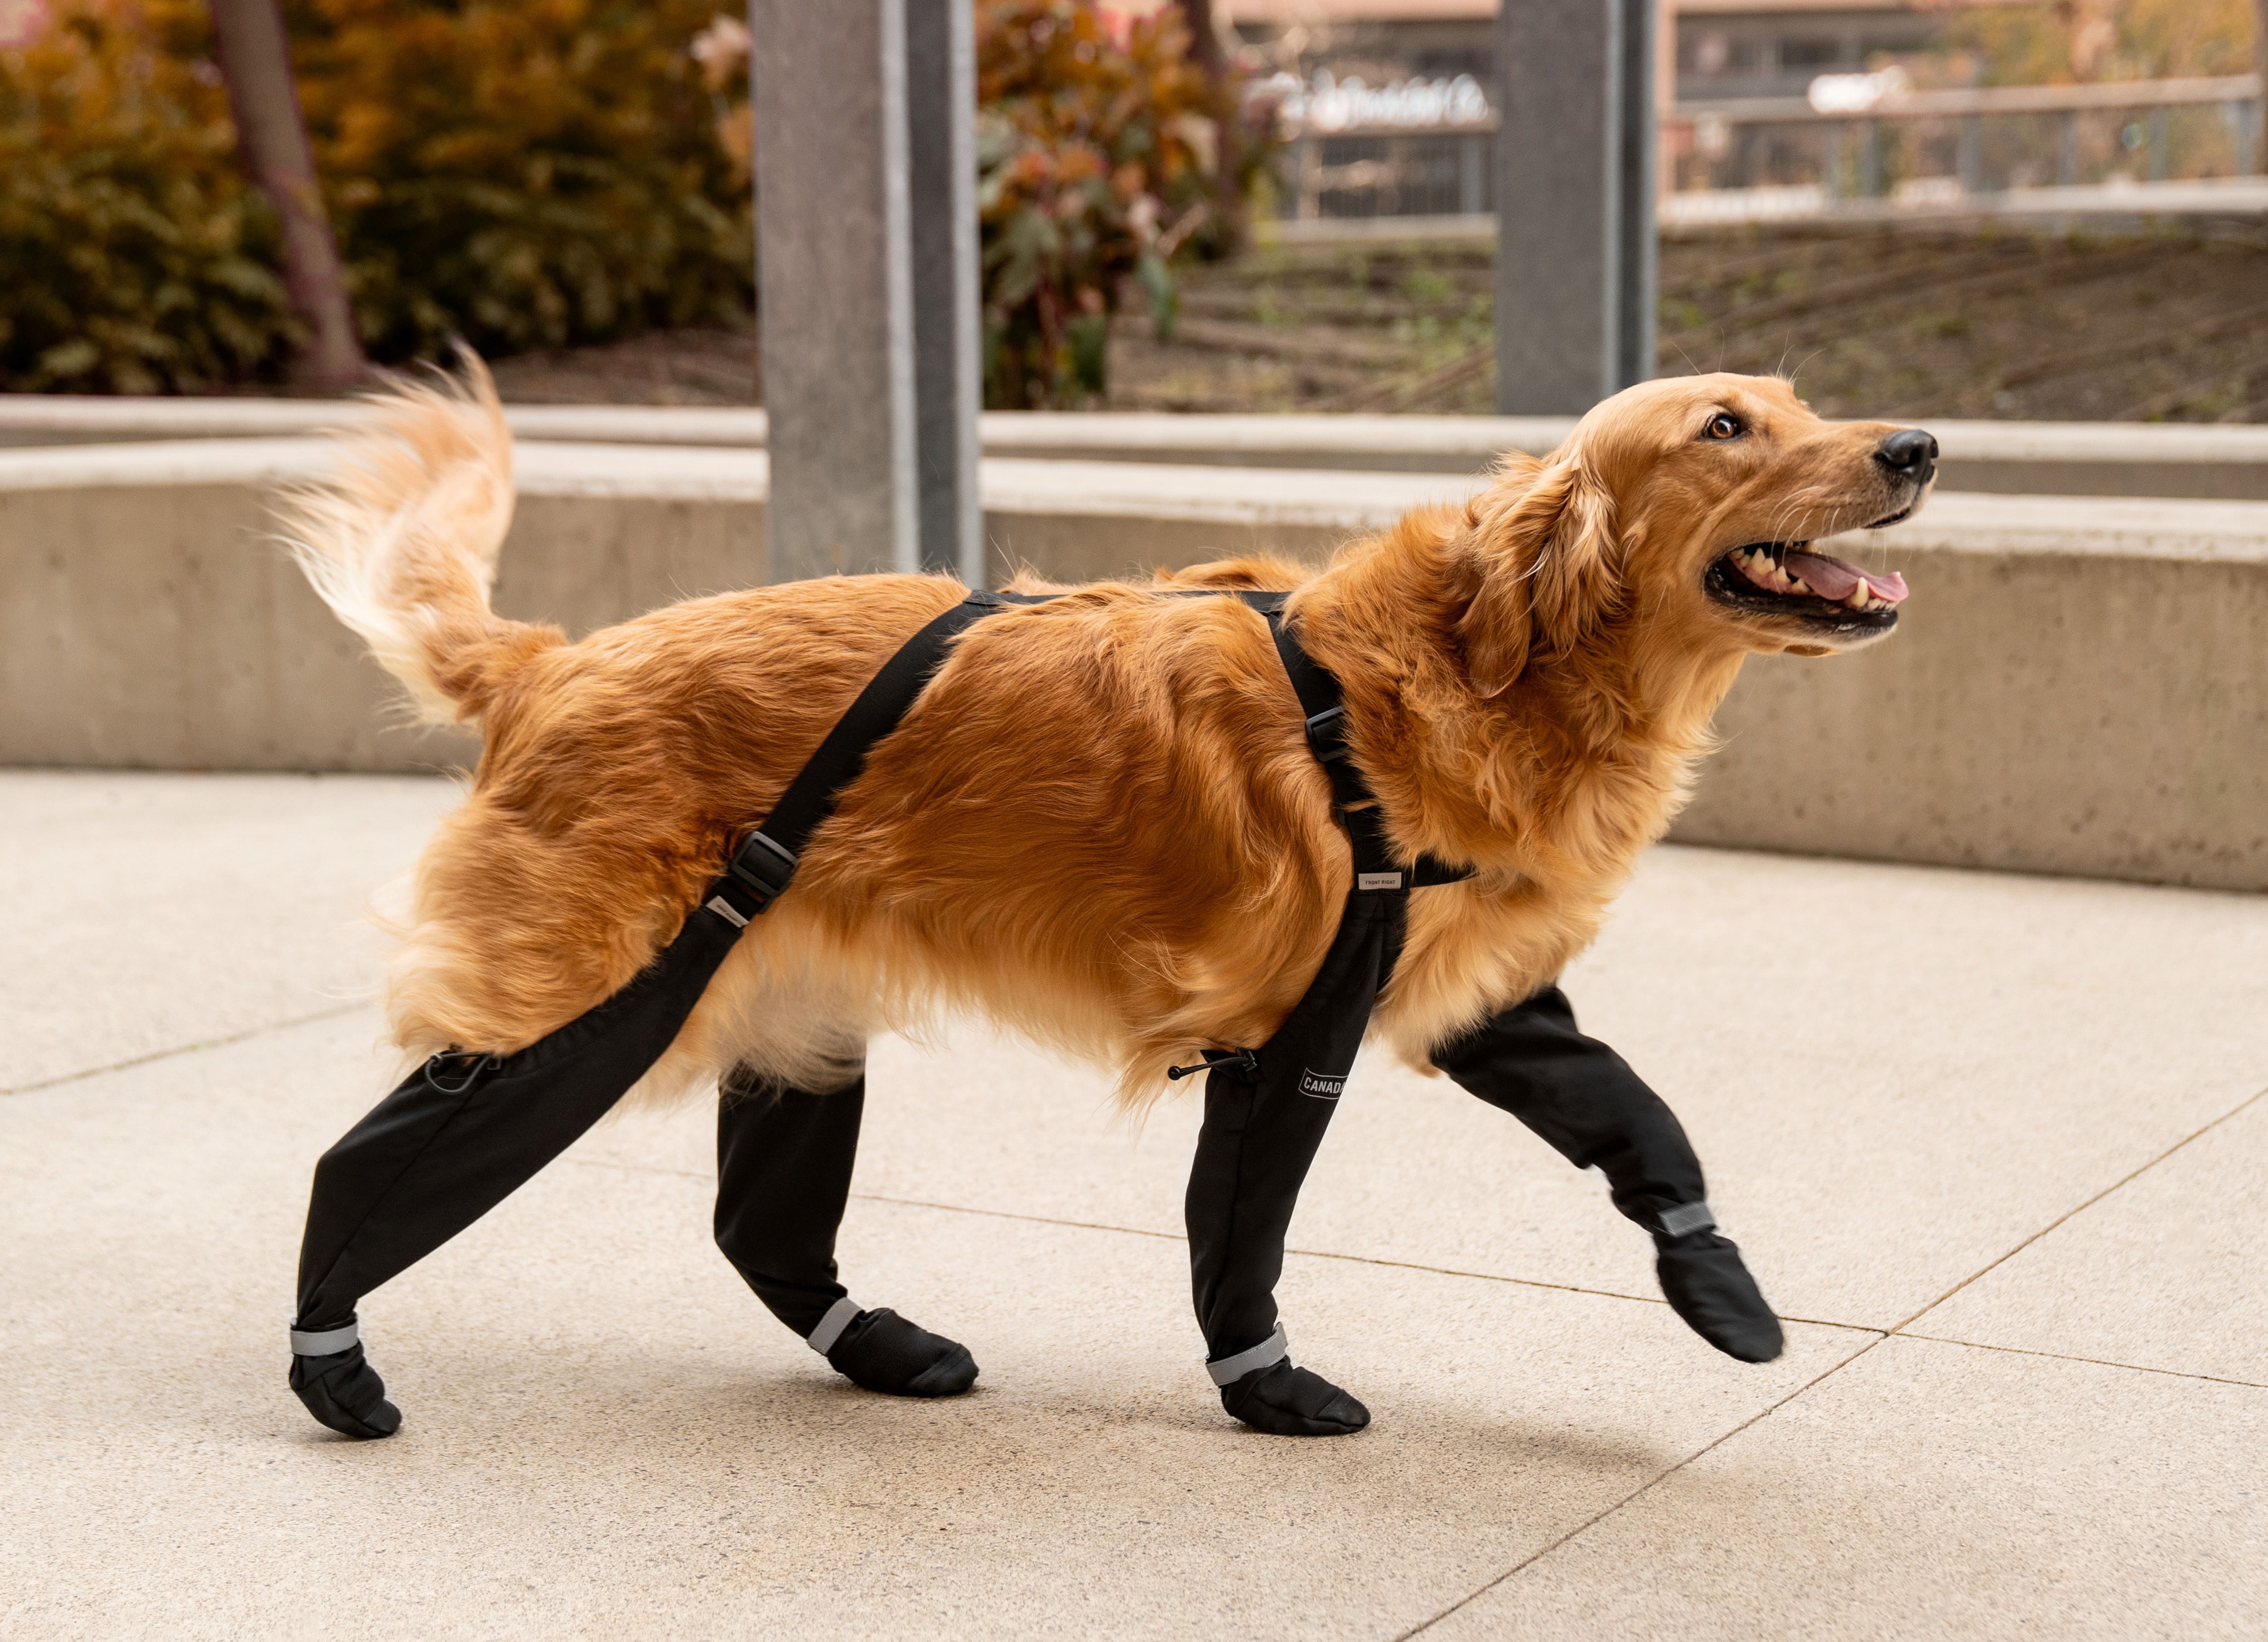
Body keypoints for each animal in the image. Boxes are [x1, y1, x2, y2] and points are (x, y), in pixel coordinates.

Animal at [288, 360, 1932, 1111]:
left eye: (1794, 402)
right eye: (1722, 426)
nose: (1918, 443)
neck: (1471, 678)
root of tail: (548, 663)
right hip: (563, 992)